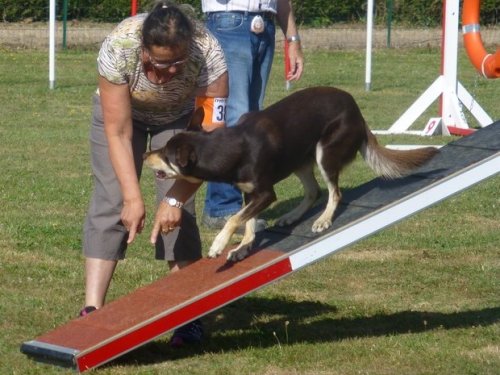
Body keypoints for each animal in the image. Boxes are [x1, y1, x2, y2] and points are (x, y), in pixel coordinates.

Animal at [142, 86, 438, 262]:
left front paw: (218, 245)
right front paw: (243, 248)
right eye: (161, 149)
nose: (145, 156)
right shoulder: (250, 194)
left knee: (335, 193)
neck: (231, 148)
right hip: (300, 160)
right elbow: (247, 222)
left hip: (325, 152)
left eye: (166, 155)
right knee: (313, 191)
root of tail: (357, 110)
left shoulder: (265, 194)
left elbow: (234, 219)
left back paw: (323, 219)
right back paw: (292, 216)